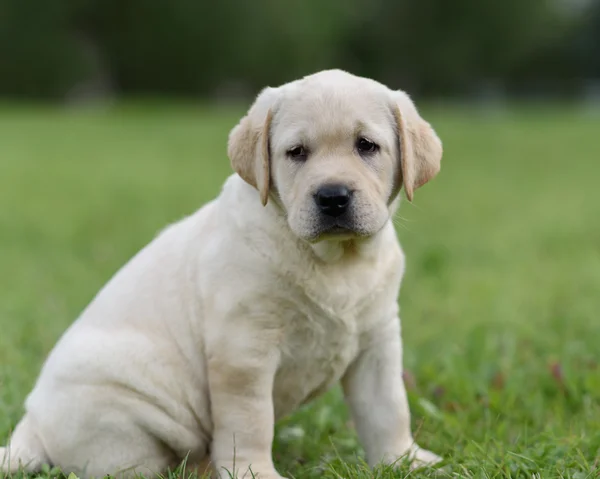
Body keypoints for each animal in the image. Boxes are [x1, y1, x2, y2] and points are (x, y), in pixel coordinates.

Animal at [0, 68, 442, 479]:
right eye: (296, 152)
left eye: (366, 145)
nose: (332, 196)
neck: (336, 262)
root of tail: (29, 425)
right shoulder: (244, 350)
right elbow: (250, 422)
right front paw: (254, 472)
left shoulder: (378, 341)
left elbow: (388, 408)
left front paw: (405, 459)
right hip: (121, 417)